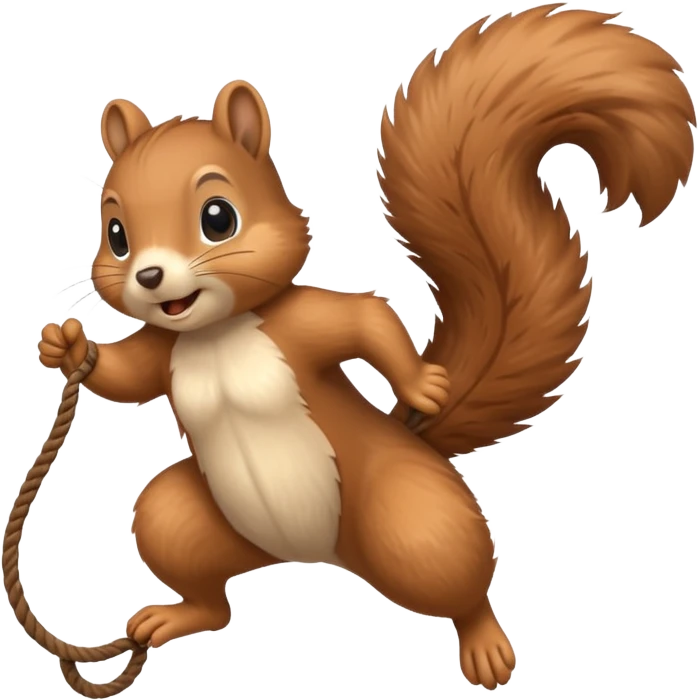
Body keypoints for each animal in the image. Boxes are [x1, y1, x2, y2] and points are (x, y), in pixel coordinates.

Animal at [38, 4, 695, 691]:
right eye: (116, 233)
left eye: (218, 217)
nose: (149, 276)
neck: (217, 332)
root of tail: (308, 554)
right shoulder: (166, 347)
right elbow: (130, 377)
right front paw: (66, 348)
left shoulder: (301, 323)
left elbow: (366, 318)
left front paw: (425, 385)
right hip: (190, 520)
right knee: (211, 599)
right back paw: (172, 617)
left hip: (414, 522)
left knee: (459, 581)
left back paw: (486, 646)